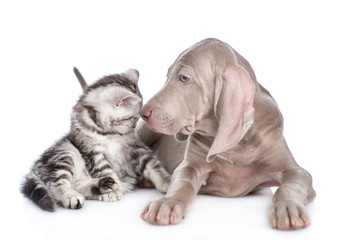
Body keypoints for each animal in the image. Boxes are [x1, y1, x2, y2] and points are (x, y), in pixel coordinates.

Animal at [20, 68, 171, 211]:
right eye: (131, 118)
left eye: (137, 118)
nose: (134, 126)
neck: (108, 132)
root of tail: (35, 168)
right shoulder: (92, 152)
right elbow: (105, 169)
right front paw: (116, 189)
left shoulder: (135, 147)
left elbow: (153, 165)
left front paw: (167, 182)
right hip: (65, 153)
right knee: (56, 183)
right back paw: (72, 195)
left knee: (78, 185)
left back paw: (102, 186)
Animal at [137, 38, 316, 231]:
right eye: (167, 75)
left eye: (184, 78)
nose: (142, 112)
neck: (236, 147)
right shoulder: (190, 165)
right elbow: (181, 183)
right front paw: (167, 202)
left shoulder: (296, 171)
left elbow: (289, 186)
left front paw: (288, 207)